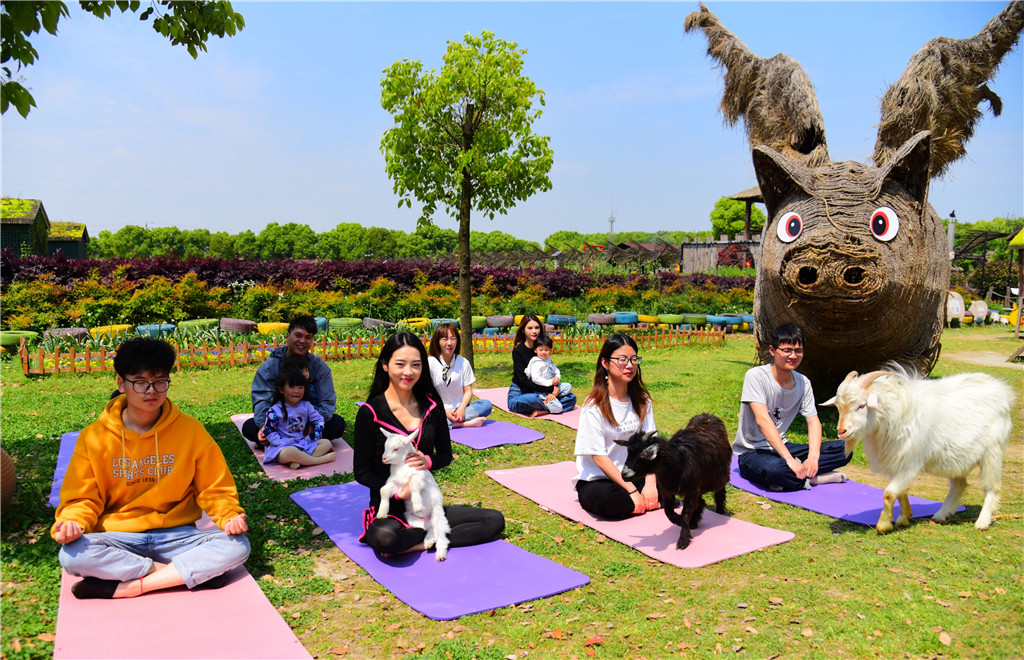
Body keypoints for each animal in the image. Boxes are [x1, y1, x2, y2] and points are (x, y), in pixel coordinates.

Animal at [374, 425, 450, 556]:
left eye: (396, 449)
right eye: (384, 446)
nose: (383, 458)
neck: (402, 467)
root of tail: (427, 520)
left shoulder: (419, 476)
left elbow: (414, 485)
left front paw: (418, 506)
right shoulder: (395, 484)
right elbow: (383, 490)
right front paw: (382, 513)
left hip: (438, 515)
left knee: (441, 534)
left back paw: (440, 554)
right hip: (412, 520)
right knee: (429, 529)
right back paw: (429, 542)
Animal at [610, 415, 733, 548]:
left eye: (641, 456)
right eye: (628, 452)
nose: (624, 475)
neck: (678, 463)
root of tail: (710, 416)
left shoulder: (691, 490)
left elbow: (685, 513)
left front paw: (683, 540)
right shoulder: (667, 490)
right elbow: (668, 512)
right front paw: (681, 524)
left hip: (719, 476)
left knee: (719, 493)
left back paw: (720, 512)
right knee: (701, 501)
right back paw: (694, 522)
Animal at [819, 368, 1011, 532]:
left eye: (861, 405)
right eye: (838, 407)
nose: (841, 431)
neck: (893, 415)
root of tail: (1001, 390)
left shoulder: (910, 462)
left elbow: (889, 493)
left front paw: (883, 525)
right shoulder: (897, 460)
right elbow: (901, 491)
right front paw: (903, 518)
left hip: (992, 452)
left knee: (992, 488)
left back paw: (982, 522)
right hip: (958, 457)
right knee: (959, 484)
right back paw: (941, 514)